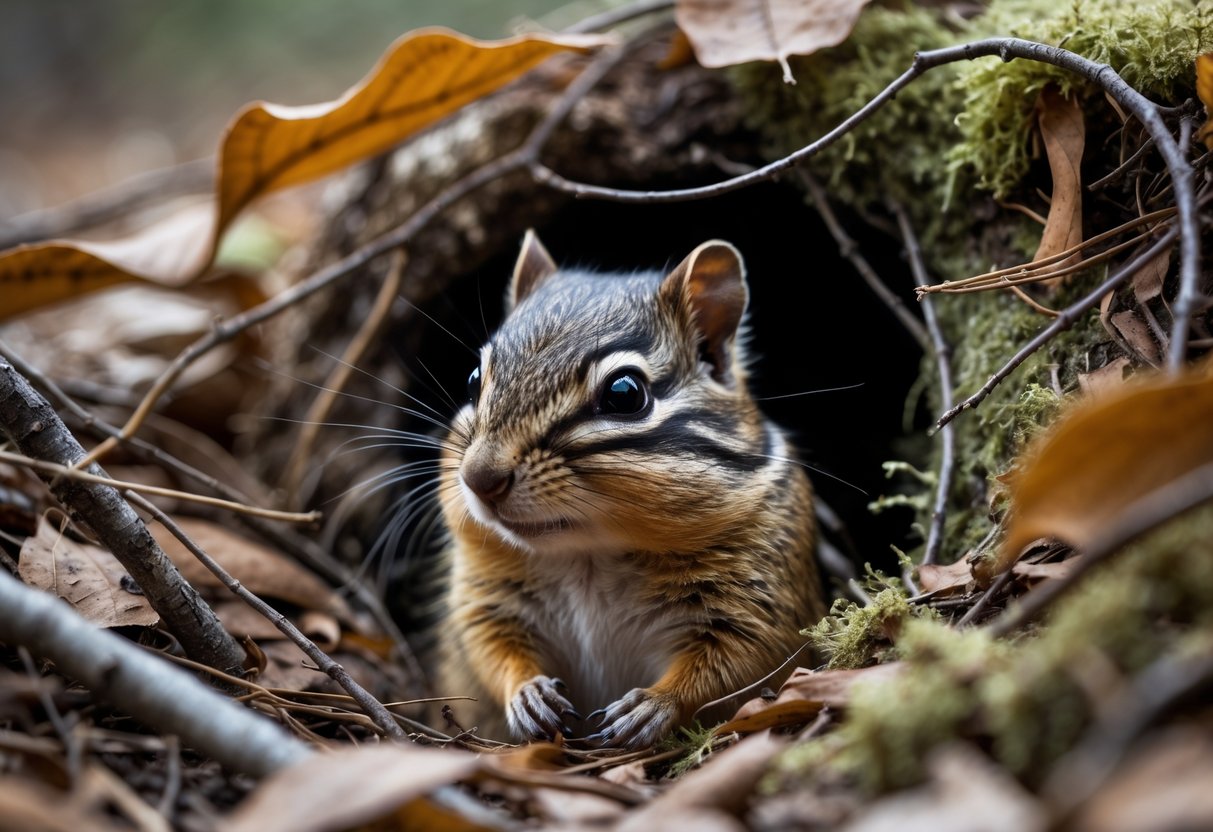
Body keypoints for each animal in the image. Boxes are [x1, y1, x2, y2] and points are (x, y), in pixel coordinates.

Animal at [435, 231, 826, 748]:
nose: (479, 478)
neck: (589, 553)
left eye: (625, 393)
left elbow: (733, 669)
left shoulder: (759, 612)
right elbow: (491, 648)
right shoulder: (485, 599)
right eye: (473, 380)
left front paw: (653, 705)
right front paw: (528, 694)